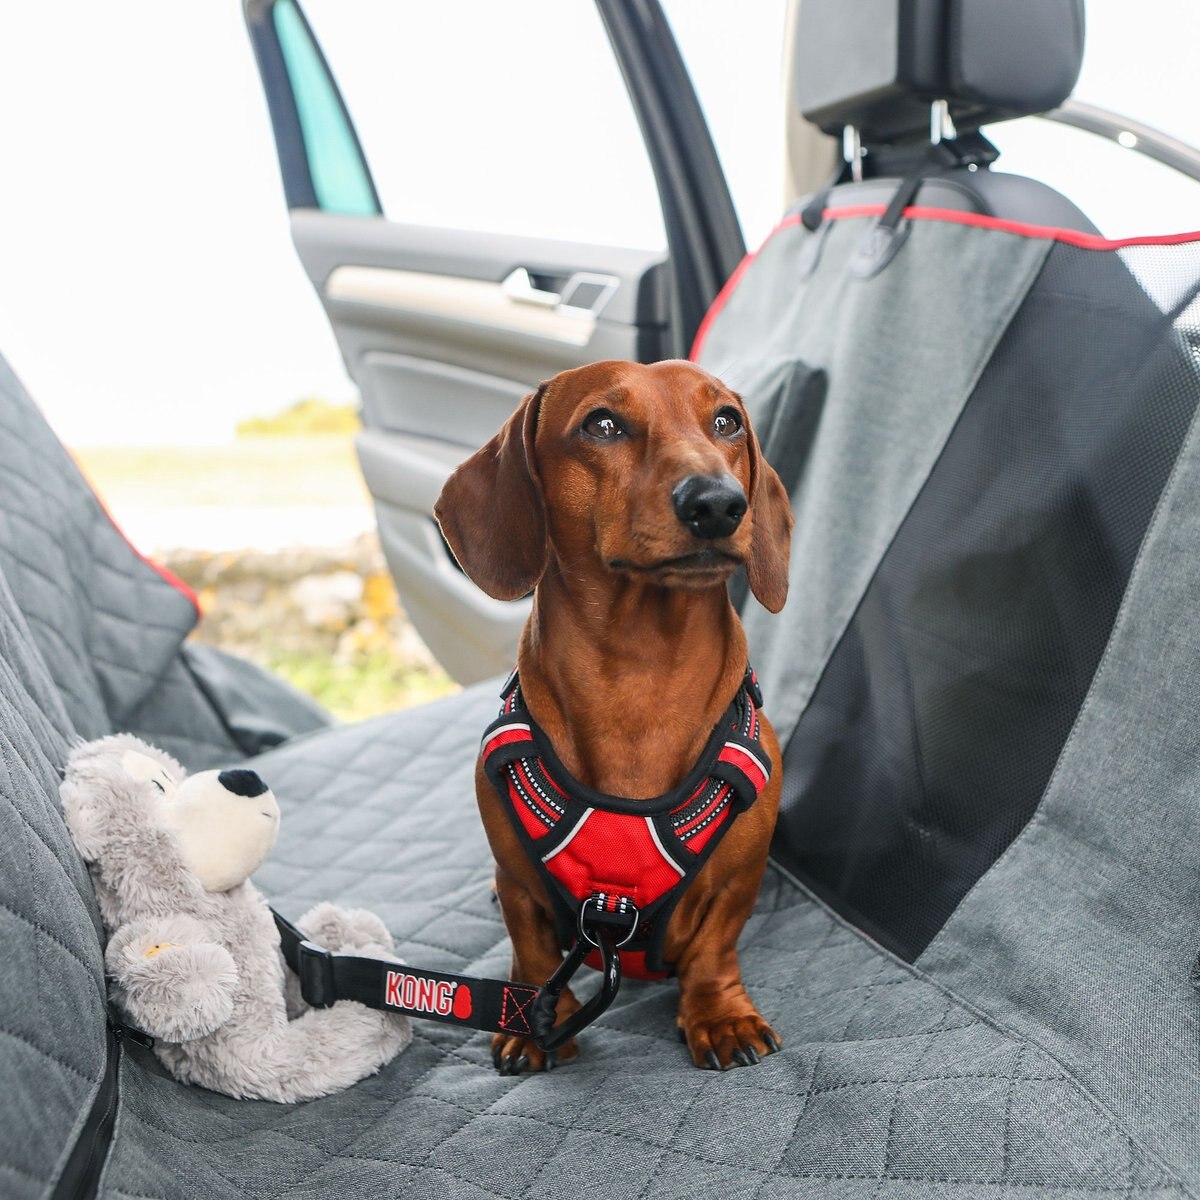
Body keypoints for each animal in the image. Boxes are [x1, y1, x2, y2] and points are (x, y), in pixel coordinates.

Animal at [436, 360, 792, 1075]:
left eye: (727, 421)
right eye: (602, 424)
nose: (717, 504)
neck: (640, 675)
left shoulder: (736, 880)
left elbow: (715, 946)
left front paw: (720, 1014)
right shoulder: (520, 885)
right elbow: (532, 948)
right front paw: (532, 1022)